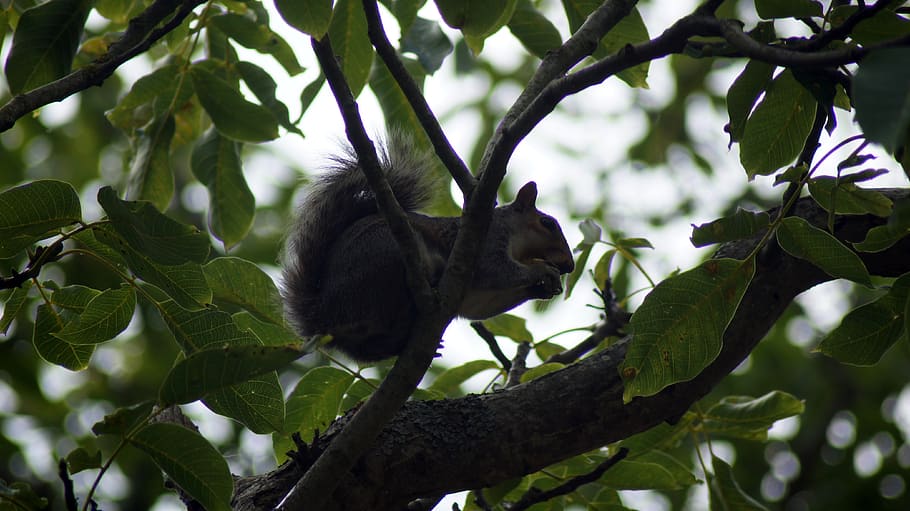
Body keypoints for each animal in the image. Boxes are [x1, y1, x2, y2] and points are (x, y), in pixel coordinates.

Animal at [282, 138, 575, 361]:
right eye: (548, 224)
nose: (569, 266)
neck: (517, 246)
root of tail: (324, 313)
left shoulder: (475, 296)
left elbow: (481, 307)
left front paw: (542, 288)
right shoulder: (486, 242)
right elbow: (495, 272)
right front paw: (542, 271)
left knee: (371, 349)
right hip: (384, 255)